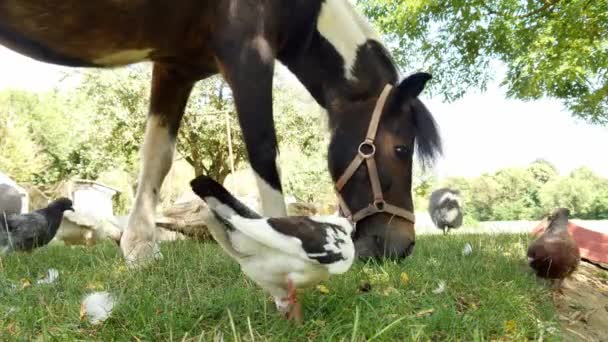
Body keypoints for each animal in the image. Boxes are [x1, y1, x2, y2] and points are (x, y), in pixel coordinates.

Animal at [0, 0, 442, 264]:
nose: (402, 245)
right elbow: (264, 153)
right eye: (400, 149)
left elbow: (157, 156)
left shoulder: (174, 69)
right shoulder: (249, 56)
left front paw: (139, 248)